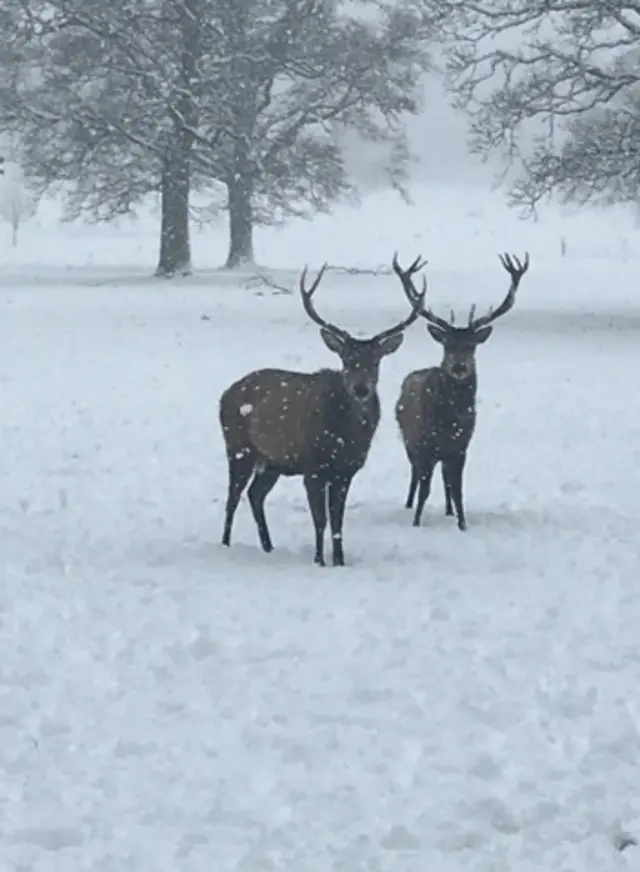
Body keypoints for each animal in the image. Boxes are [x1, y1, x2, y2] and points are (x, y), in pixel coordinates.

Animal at [220, 262, 424, 568]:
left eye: (375, 360)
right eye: (346, 359)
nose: (361, 388)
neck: (345, 438)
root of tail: (225, 394)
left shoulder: (346, 471)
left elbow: (338, 520)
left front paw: (339, 560)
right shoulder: (313, 466)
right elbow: (320, 519)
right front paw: (319, 560)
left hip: (272, 461)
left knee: (255, 494)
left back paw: (268, 546)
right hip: (238, 447)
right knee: (232, 497)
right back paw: (226, 544)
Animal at [392, 249, 528, 528]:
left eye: (471, 346)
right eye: (447, 345)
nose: (459, 366)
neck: (450, 420)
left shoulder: (461, 446)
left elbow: (457, 489)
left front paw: (462, 524)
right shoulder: (424, 444)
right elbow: (424, 489)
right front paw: (417, 522)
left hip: (443, 454)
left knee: (445, 480)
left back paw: (448, 511)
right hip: (409, 441)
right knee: (415, 475)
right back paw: (409, 506)